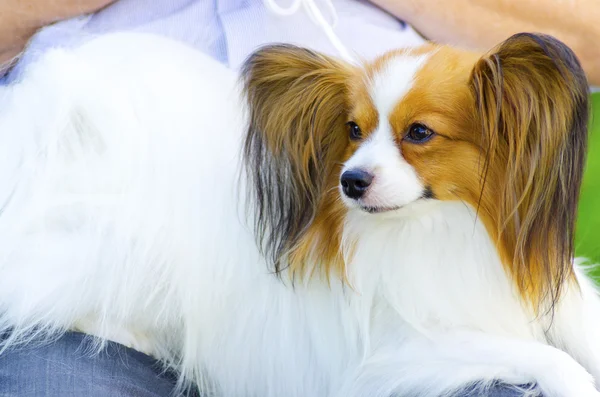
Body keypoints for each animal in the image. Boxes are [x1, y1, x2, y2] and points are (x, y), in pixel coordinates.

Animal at [0, 31, 596, 396]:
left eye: (420, 133)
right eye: (353, 130)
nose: (350, 181)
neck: (436, 228)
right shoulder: (393, 350)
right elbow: (538, 355)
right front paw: (576, 383)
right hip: (110, 247)